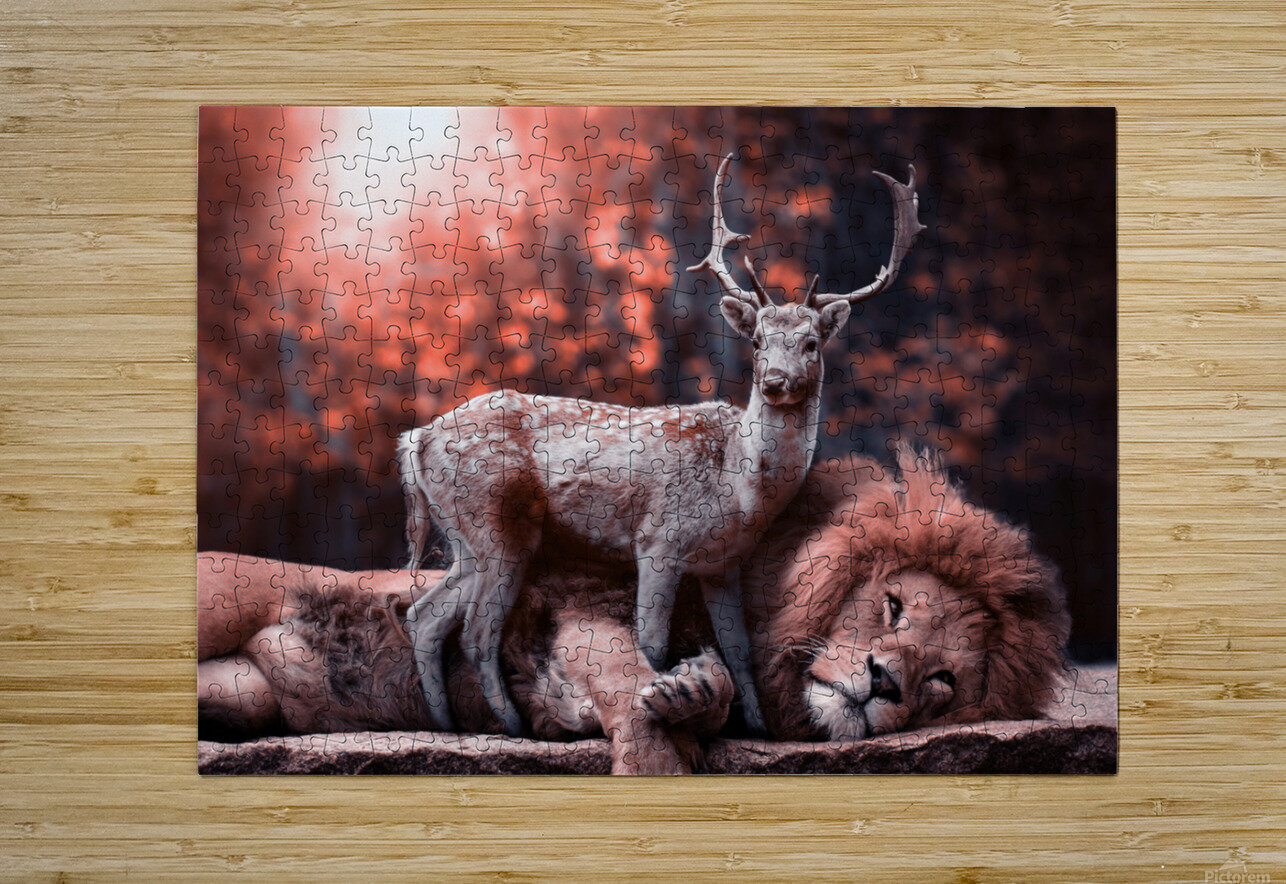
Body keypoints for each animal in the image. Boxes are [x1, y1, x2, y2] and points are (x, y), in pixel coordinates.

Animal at [198, 449, 1070, 773]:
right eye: (891, 608)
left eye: (942, 683)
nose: (885, 682)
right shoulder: (580, 611)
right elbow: (631, 687)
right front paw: (659, 758)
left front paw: (695, 690)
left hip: (248, 693)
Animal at [398, 153, 925, 737]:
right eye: (757, 342)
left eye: (811, 343)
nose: (774, 382)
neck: (738, 489)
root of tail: (415, 439)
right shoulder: (658, 540)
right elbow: (651, 644)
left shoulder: (723, 563)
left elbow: (740, 651)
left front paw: (757, 728)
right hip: (496, 524)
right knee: (475, 633)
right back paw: (514, 727)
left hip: (465, 536)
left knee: (424, 616)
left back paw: (448, 723)